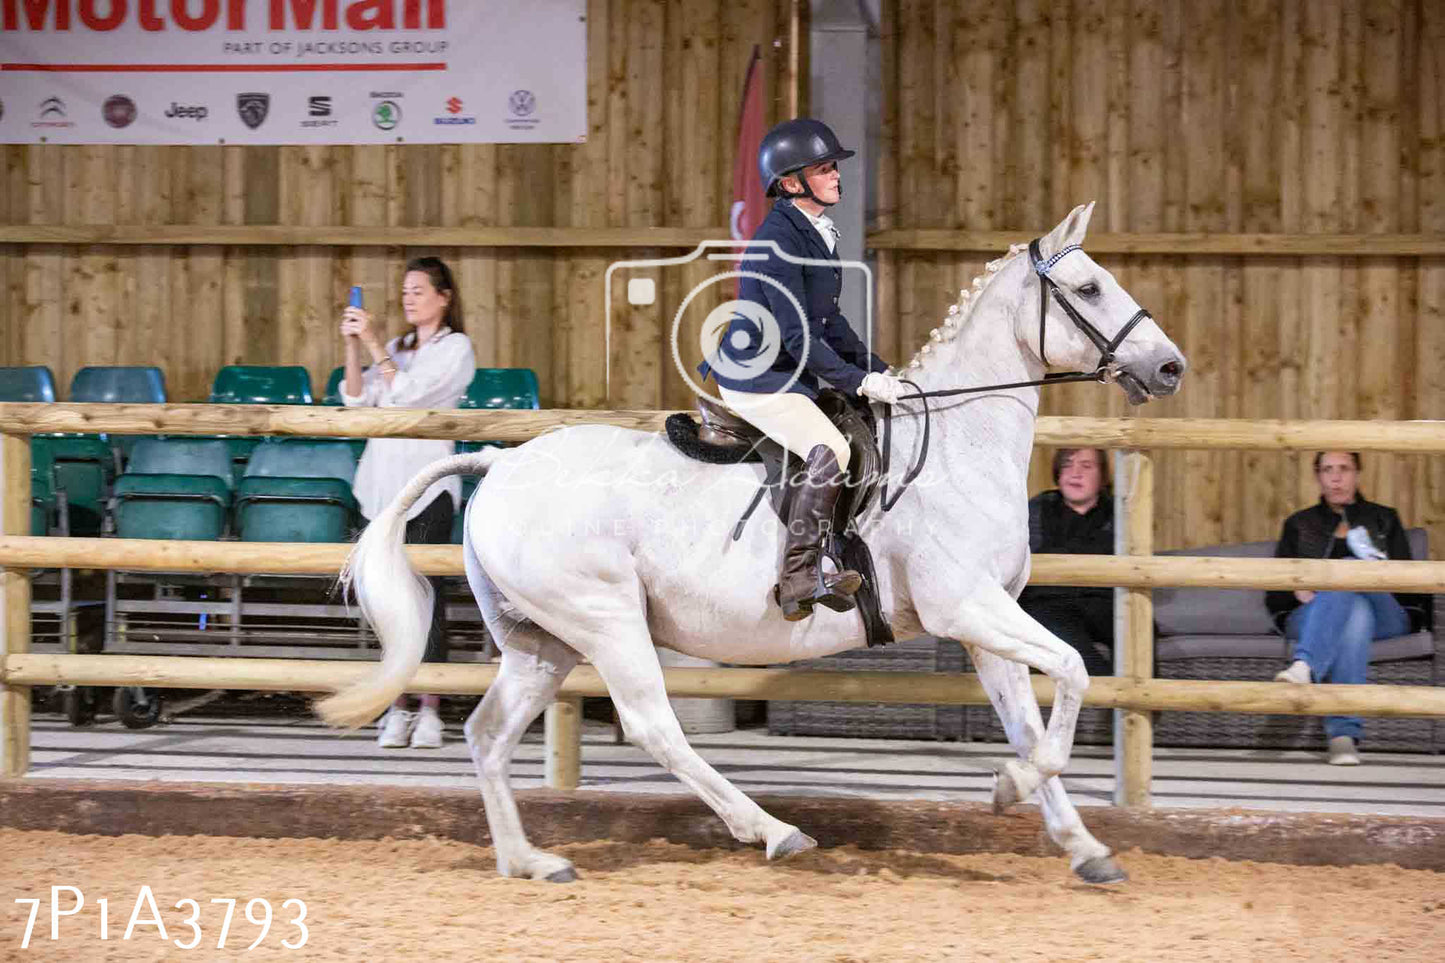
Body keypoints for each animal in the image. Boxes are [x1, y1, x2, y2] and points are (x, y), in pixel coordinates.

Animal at [316, 200, 1184, 879]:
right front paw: (1010, 786)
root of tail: (497, 465)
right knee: (652, 725)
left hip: (541, 641)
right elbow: (1071, 670)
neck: (956, 443)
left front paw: (1079, 843)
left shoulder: (984, 620)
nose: (1170, 367)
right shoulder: (964, 607)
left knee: (488, 734)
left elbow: (1031, 717)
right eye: (1087, 288)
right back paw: (770, 829)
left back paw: (530, 860)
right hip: (605, 619)